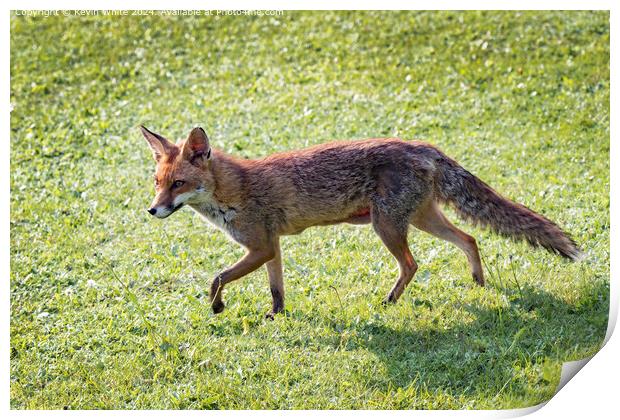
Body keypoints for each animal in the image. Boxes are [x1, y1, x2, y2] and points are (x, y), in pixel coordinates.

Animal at [140, 124, 580, 318]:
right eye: (157, 183)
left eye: (178, 184)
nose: (152, 210)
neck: (235, 190)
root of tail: (422, 145)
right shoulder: (271, 247)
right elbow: (276, 289)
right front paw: (276, 316)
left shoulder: (260, 246)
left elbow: (216, 277)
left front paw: (217, 307)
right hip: (422, 219)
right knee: (470, 239)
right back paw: (479, 284)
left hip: (387, 227)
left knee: (413, 264)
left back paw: (389, 301)